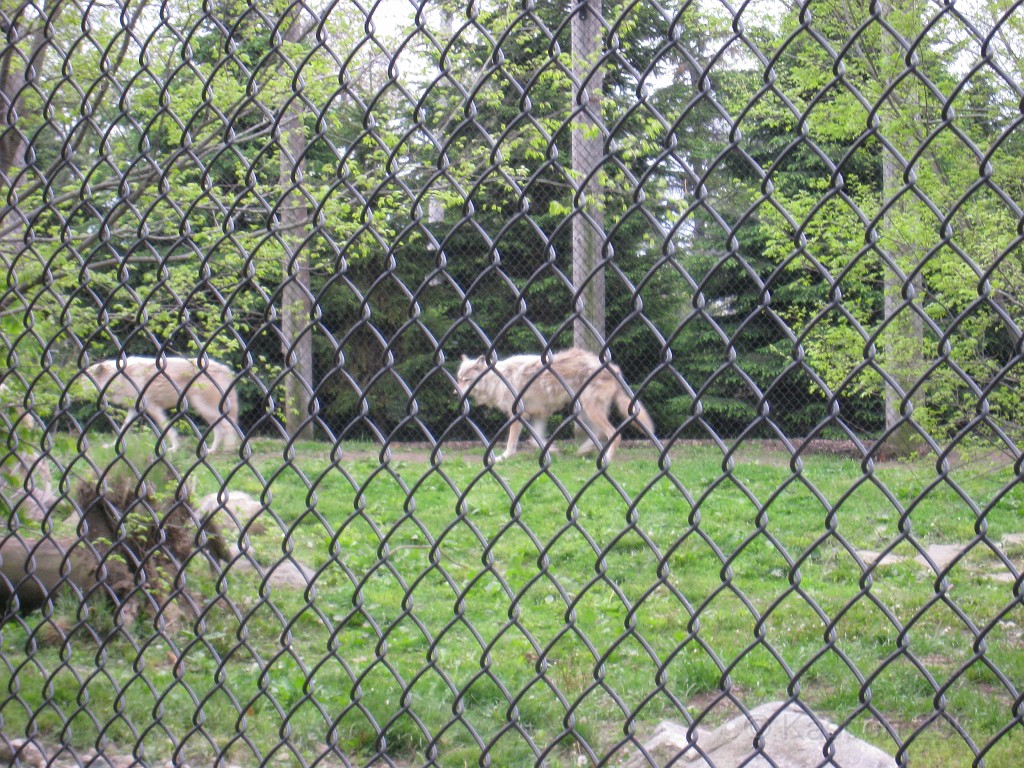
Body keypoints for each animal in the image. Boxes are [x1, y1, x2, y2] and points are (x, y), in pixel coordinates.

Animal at [84, 358, 240, 454]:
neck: (121, 378)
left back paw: (228, 450)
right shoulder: (134, 409)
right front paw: (111, 446)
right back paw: (212, 451)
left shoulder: (152, 407)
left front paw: (174, 448)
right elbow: (122, 429)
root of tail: (225, 369)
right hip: (205, 410)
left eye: (82, 380)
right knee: (220, 430)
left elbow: (167, 429)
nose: (76, 391)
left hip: (205, 408)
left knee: (228, 427)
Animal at [456, 348, 655, 462]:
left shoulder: (517, 415)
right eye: (458, 379)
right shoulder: (540, 414)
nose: (456, 393)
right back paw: (584, 451)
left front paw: (502, 458)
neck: (497, 379)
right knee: (600, 433)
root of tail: (614, 368)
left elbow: (512, 443)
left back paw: (605, 459)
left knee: (614, 434)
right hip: (584, 410)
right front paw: (551, 450)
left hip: (589, 410)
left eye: (467, 380)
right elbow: (535, 440)